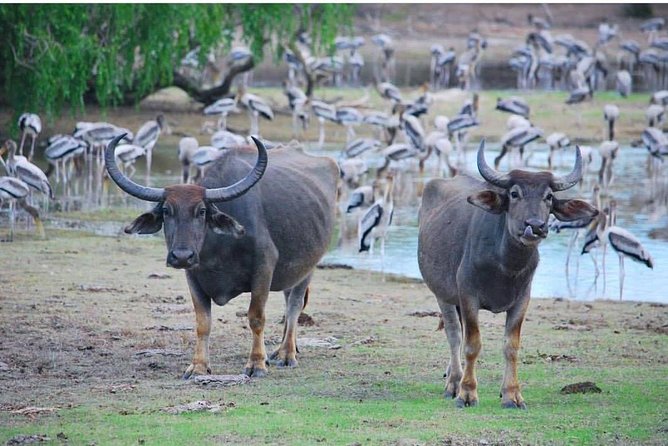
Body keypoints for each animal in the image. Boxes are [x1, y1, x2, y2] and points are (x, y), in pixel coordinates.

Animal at [107, 135, 342, 376]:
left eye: (201, 211)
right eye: (166, 211)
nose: (181, 256)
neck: (218, 250)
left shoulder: (264, 269)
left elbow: (256, 317)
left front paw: (256, 363)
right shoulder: (194, 276)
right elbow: (203, 322)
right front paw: (198, 366)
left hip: (308, 268)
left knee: (294, 305)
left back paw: (287, 354)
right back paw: (282, 350)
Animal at [420, 141, 596, 410]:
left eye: (548, 197)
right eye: (514, 193)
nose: (535, 226)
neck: (505, 266)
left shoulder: (522, 299)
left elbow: (511, 346)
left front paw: (512, 395)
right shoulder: (468, 296)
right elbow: (472, 343)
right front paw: (467, 393)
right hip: (443, 294)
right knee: (454, 333)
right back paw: (454, 382)